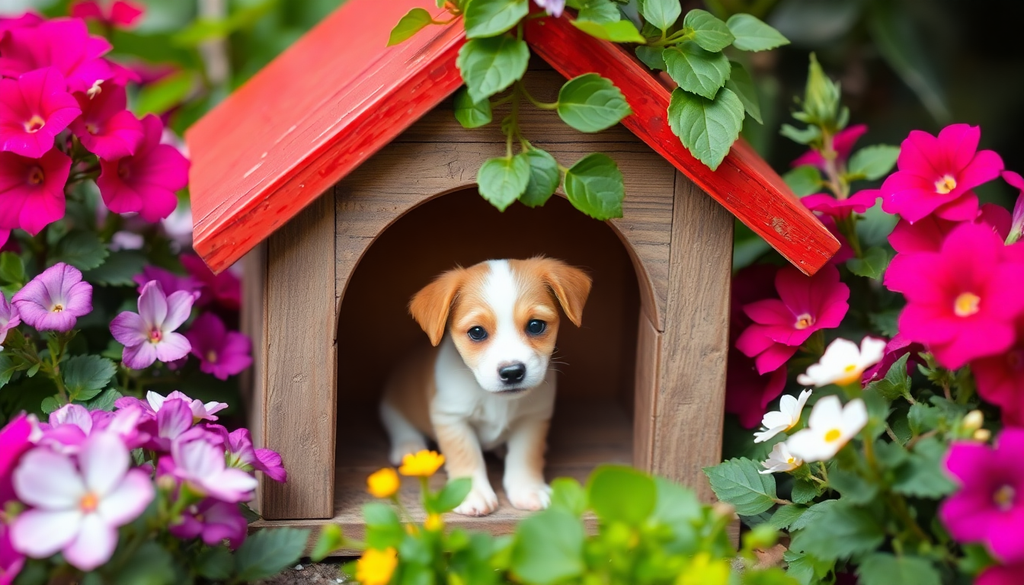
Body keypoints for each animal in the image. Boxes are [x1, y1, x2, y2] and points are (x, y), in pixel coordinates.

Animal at [380, 258, 593, 514]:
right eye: (477, 332)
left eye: (535, 325)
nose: (512, 372)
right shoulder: (452, 418)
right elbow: (467, 456)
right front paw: (471, 494)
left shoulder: (533, 418)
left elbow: (525, 456)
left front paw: (528, 489)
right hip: (393, 404)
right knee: (397, 421)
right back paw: (410, 446)